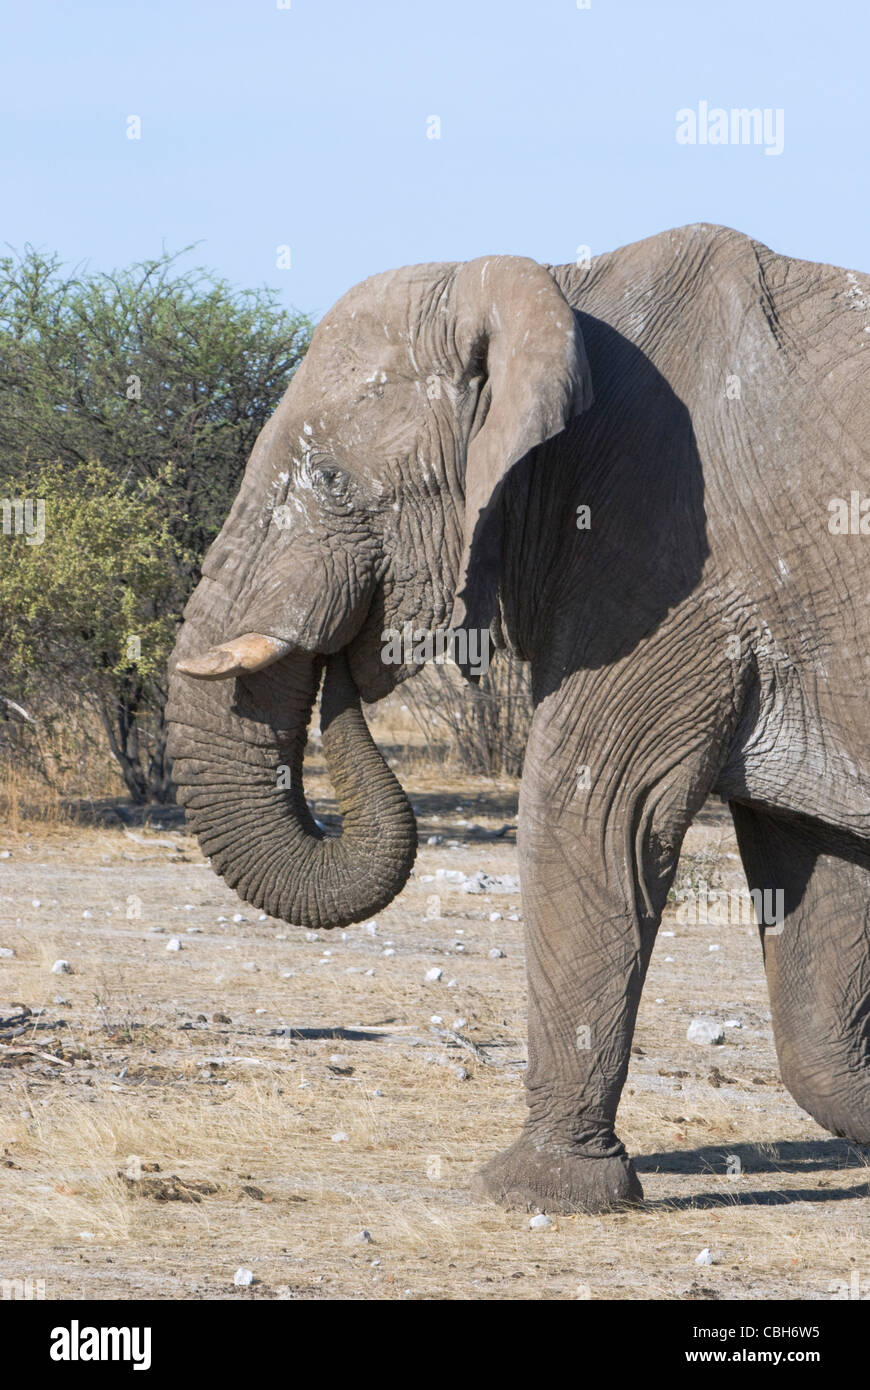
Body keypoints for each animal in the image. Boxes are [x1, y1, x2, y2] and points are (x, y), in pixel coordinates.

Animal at [166, 222, 867, 1212]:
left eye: (332, 479)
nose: (349, 664)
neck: (558, 297)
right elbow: (815, 869)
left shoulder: (664, 555)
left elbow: (594, 810)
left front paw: (535, 1192)